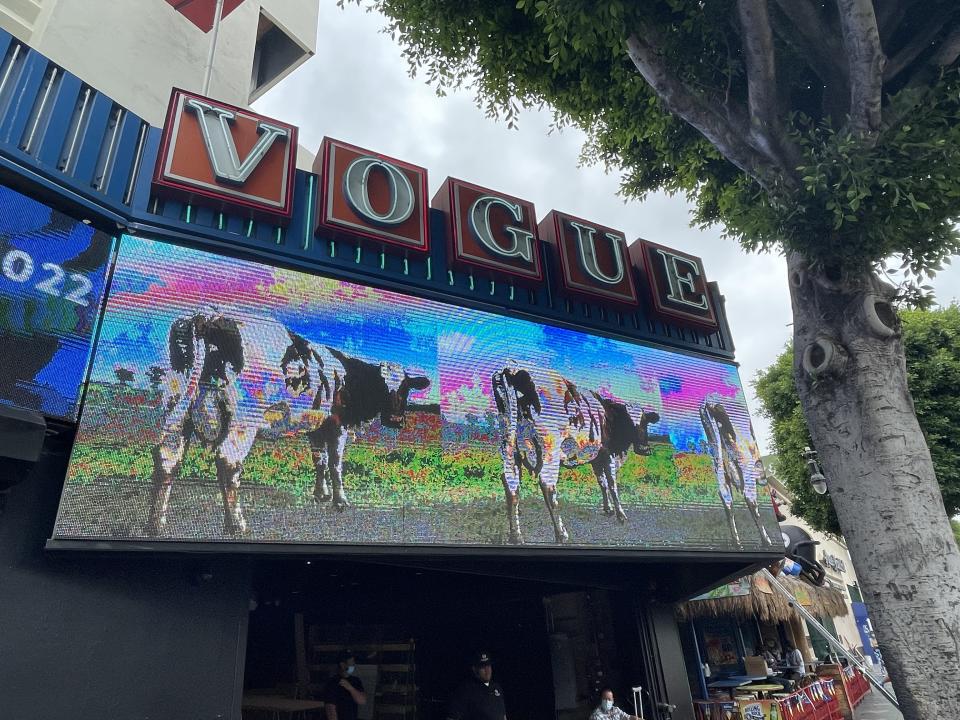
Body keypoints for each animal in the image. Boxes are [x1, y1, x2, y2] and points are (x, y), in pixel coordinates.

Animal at [142, 312, 428, 536]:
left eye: (404, 388)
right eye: (383, 387)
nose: (396, 419)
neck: (348, 378)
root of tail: (208, 319)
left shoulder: (316, 427)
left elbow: (319, 461)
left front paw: (321, 495)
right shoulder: (338, 426)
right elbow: (335, 464)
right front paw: (340, 501)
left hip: (176, 410)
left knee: (167, 458)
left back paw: (156, 524)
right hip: (241, 421)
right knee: (228, 463)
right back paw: (236, 524)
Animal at [492, 366, 664, 544]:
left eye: (645, 422)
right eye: (628, 421)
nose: (644, 448)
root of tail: (513, 370)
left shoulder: (596, 458)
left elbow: (602, 482)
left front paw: (608, 509)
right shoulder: (608, 454)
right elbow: (612, 484)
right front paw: (621, 515)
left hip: (510, 448)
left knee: (510, 484)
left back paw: (516, 535)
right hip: (549, 449)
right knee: (547, 485)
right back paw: (561, 534)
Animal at [696, 394, 772, 544]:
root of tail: (711, 404)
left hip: (720, 468)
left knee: (727, 502)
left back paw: (737, 543)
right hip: (746, 472)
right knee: (751, 503)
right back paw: (766, 541)